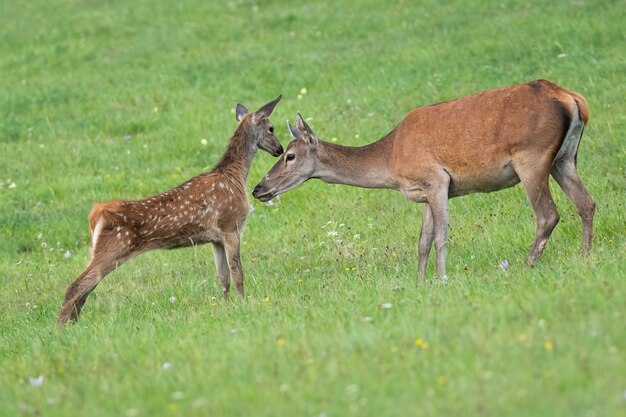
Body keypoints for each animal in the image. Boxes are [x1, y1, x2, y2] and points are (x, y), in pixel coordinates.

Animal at [58, 96, 282, 324]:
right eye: (271, 128)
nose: (280, 149)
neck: (235, 176)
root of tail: (96, 213)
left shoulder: (216, 239)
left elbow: (223, 278)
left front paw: (227, 306)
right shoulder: (231, 226)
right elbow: (238, 274)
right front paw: (243, 304)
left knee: (84, 289)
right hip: (113, 248)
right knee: (76, 287)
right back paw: (62, 327)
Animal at [251, 80, 592, 280]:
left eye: (289, 156)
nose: (258, 189)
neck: (391, 160)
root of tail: (573, 98)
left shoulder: (437, 179)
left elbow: (440, 236)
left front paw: (441, 280)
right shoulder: (426, 192)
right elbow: (422, 241)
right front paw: (419, 282)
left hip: (531, 157)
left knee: (547, 214)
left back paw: (526, 265)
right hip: (564, 158)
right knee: (586, 202)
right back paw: (586, 255)